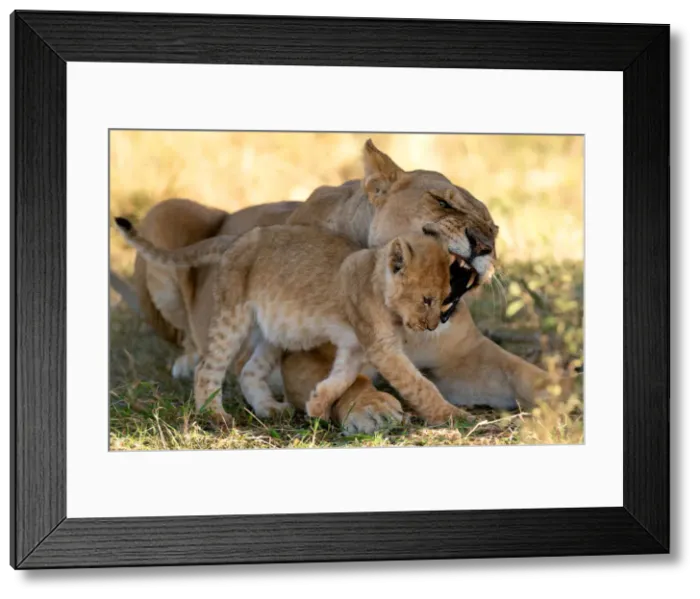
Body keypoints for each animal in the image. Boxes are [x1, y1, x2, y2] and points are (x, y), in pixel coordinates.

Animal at [116, 216, 464, 427]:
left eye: (445, 298)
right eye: (427, 300)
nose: (433, 327)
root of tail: (235, 240)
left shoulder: (355, 347)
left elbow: (342, 378)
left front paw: (317, 404)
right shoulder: (381, 348)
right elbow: (419, 384)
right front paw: (453, 415)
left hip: (273, 331)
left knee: (248, 371)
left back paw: (270, 408)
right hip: (233, 317)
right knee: (206, 368)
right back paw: (215, 416)